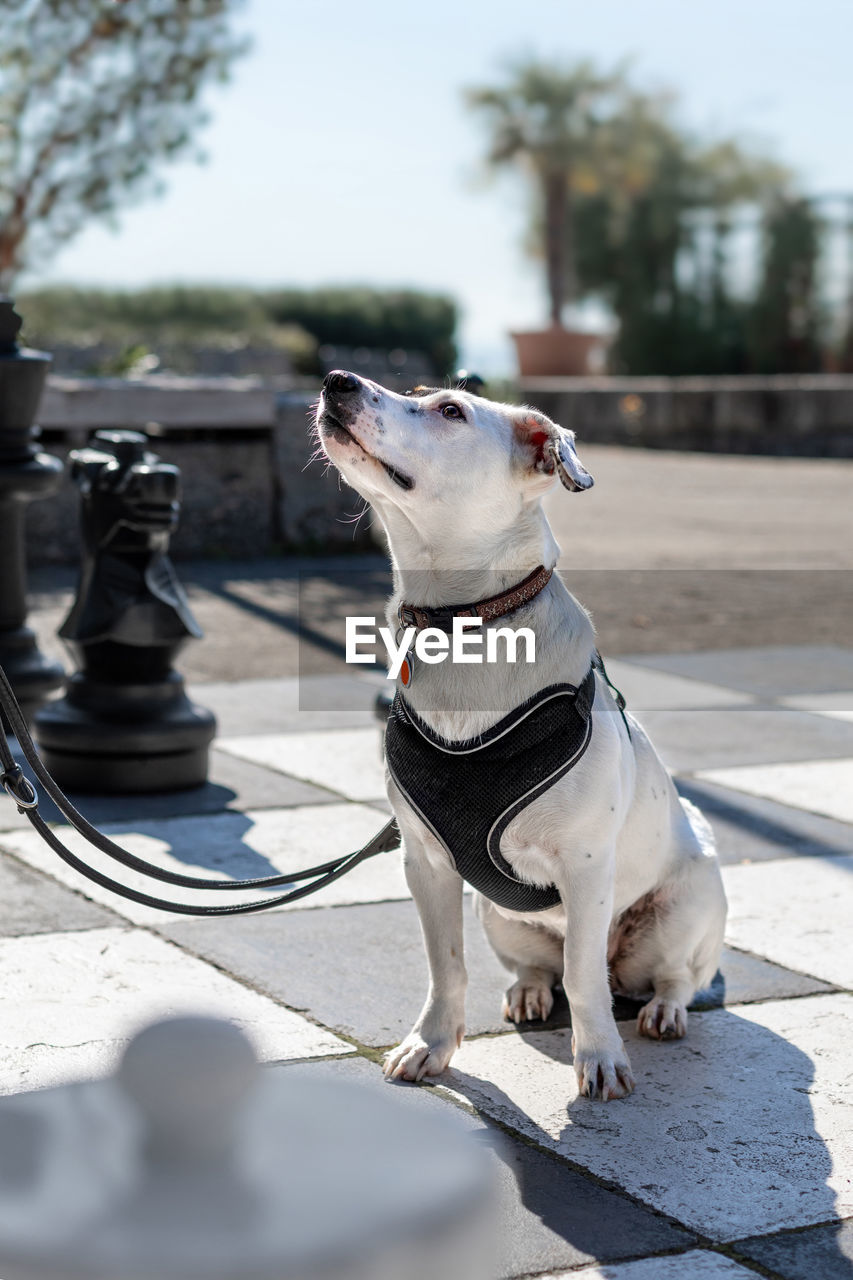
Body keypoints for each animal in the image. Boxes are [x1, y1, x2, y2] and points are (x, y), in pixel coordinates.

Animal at [315, 371, 722, 1100]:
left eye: (450, 410)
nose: (337, 381)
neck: (467, 625)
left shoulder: (585, 869)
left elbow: (585, 982)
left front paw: (599, 1058)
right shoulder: (426, 865)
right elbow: (445, 966)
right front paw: (430, 1044)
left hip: (684, 907)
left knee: (661, 975)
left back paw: (663, 1010)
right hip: (497, 915)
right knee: (544, 968)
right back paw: (530, 992)